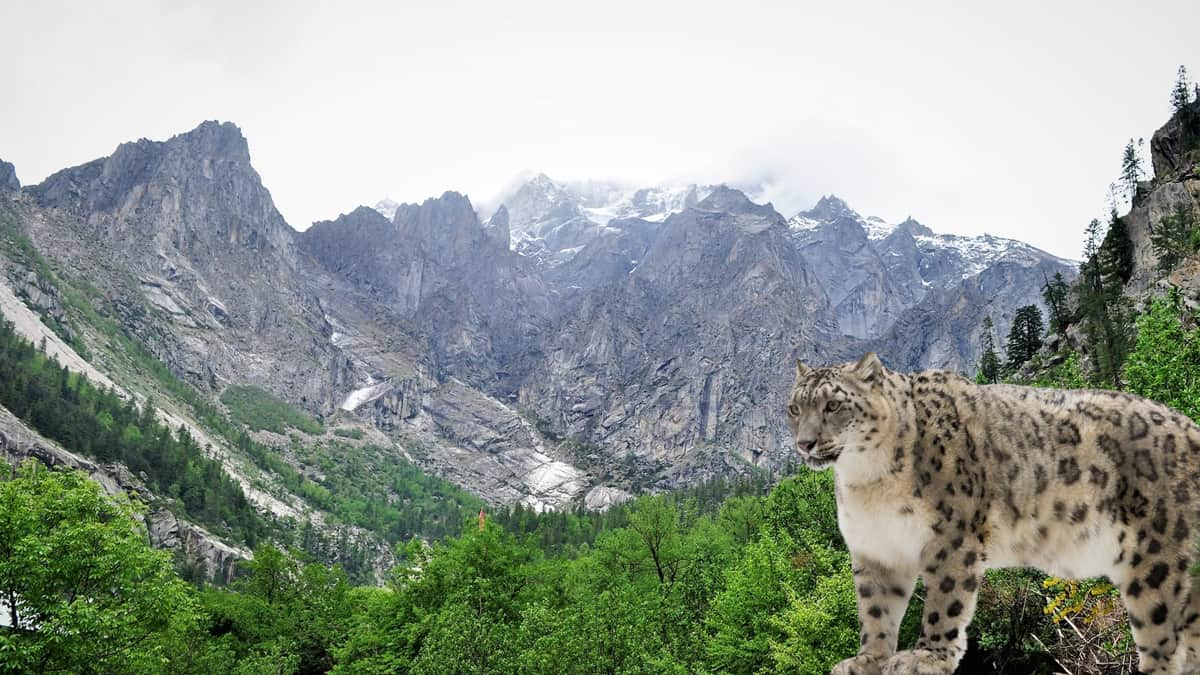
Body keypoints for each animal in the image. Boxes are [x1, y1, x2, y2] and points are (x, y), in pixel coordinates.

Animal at [787, 353, 1200, 672]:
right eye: (794, 407)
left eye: (833, 405)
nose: (804, 443)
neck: (867, 480)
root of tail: (1191, 427)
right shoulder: (875, 549)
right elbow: (875, 611)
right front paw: (867, 660)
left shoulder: (950, 536)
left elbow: (943, 601)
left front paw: (927, 656)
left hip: (1155, 559)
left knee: (1166, 642)